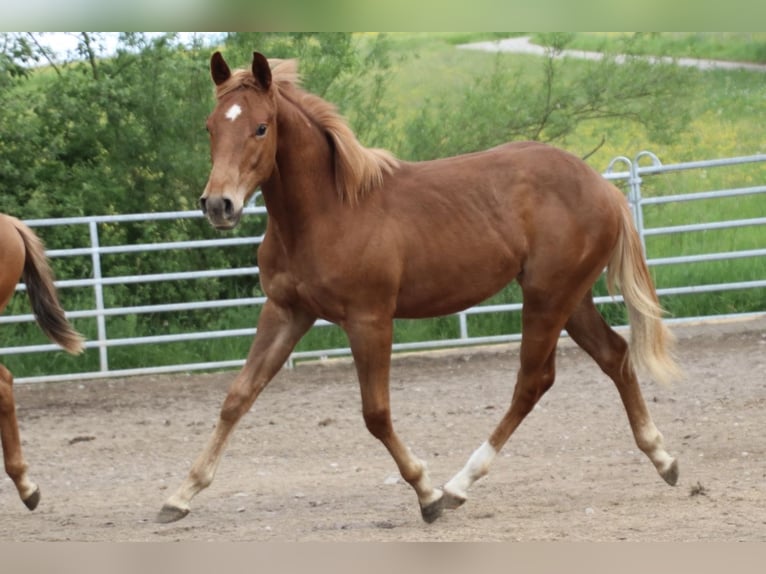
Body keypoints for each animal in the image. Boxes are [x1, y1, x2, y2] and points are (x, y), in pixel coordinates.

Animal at [158, 53, 684, 528]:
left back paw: (457, 486)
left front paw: (426, 493)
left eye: (261, 127)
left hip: (547, 297)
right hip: (570, 299)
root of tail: (603, 188)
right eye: (210, 127)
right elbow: (237, 396)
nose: (219, 205)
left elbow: (376, 413)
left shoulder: (369, 320)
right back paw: (664, 458)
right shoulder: (286, 312)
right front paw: (180, 495)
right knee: (614, 355)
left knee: (533, 381)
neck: (329, 213)